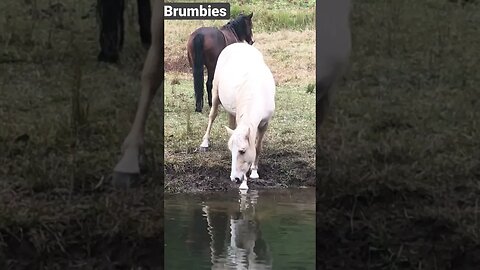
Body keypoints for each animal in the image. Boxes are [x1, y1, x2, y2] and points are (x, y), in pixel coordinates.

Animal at [199, 43, 276, 190]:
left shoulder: (264, 123)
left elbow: (257, 147)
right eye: (232, 151)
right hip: (215, 92)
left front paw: (254, 171)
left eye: (242, 151)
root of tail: (238, 44)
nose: (234, 178)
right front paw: (244, 184)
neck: (257, 92)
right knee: (212, 115)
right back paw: (205, 142)